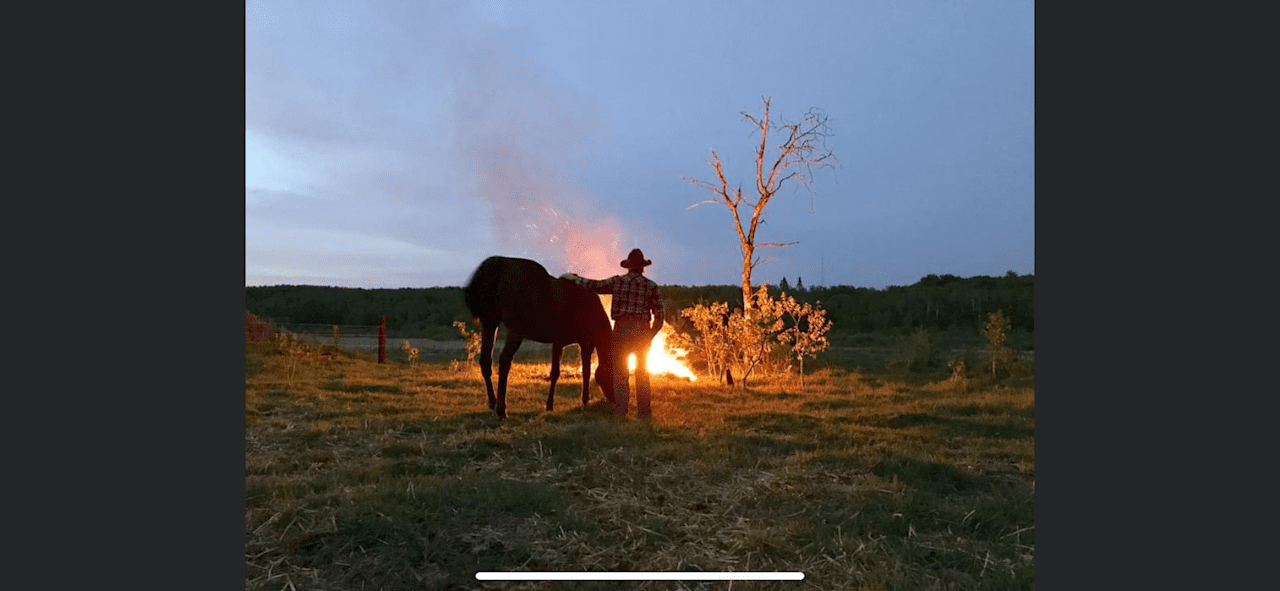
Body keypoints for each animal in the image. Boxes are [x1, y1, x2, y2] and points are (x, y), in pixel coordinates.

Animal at [465, 255, 614, 417]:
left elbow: (570, 372)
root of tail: (499, 264)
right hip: (515, 331)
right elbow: (574, 372)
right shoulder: (583, 343)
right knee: (504, 362)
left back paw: (493, 402)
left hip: (490, 323)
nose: (612, 400)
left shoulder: (564, 342)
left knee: (486, 361)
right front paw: (577, 401)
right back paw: (502, 409)